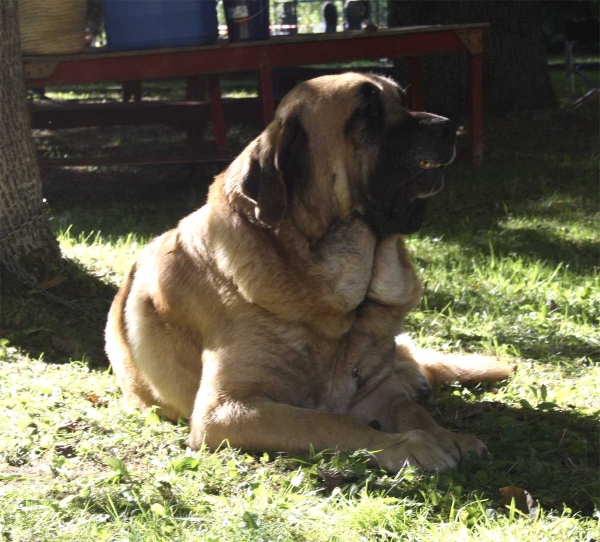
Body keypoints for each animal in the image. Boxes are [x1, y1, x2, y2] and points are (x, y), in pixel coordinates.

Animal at [104, 74, 510, 474]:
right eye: (366, 111)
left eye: (401, 99)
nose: (449, 127)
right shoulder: (224, 409)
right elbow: (332, 421)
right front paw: (406, 445)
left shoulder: (377, 392)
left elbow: (410, 411)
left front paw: (447, 436)